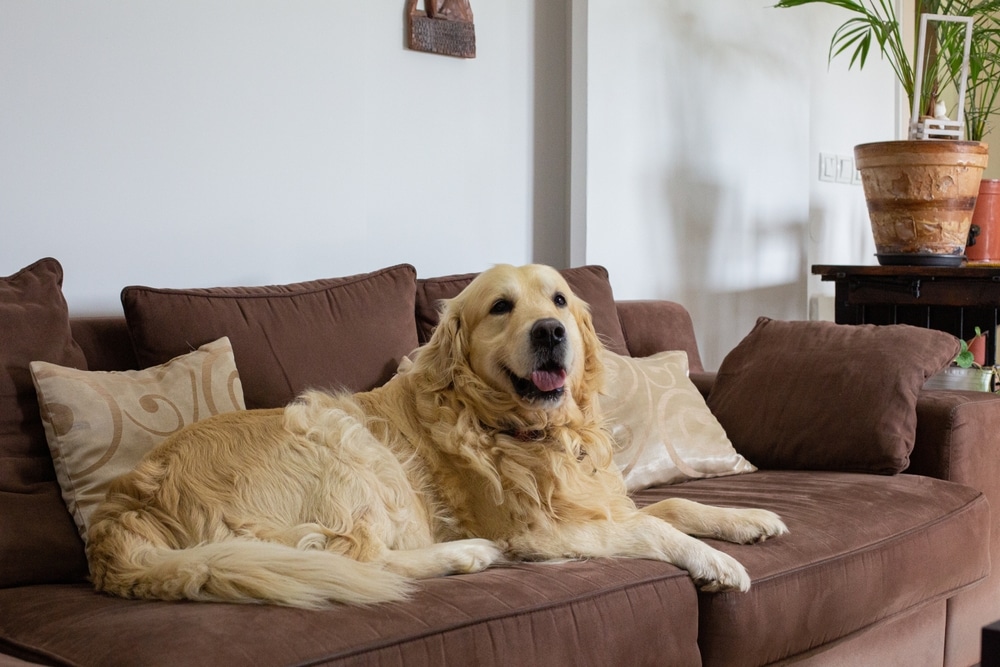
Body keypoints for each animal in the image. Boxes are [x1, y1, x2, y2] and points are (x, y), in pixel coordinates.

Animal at [86, 264, 784, 608]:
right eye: (501, 307)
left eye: (559, 300)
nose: (551, 332)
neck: (524, 429)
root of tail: (124, 510)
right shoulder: (541, 534)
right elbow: (653, 530)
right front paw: (717, 562)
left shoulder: (601, 501)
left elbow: (675, 503)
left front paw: (747, 520)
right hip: (342, 443)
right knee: (355, 559)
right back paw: (465, 555)